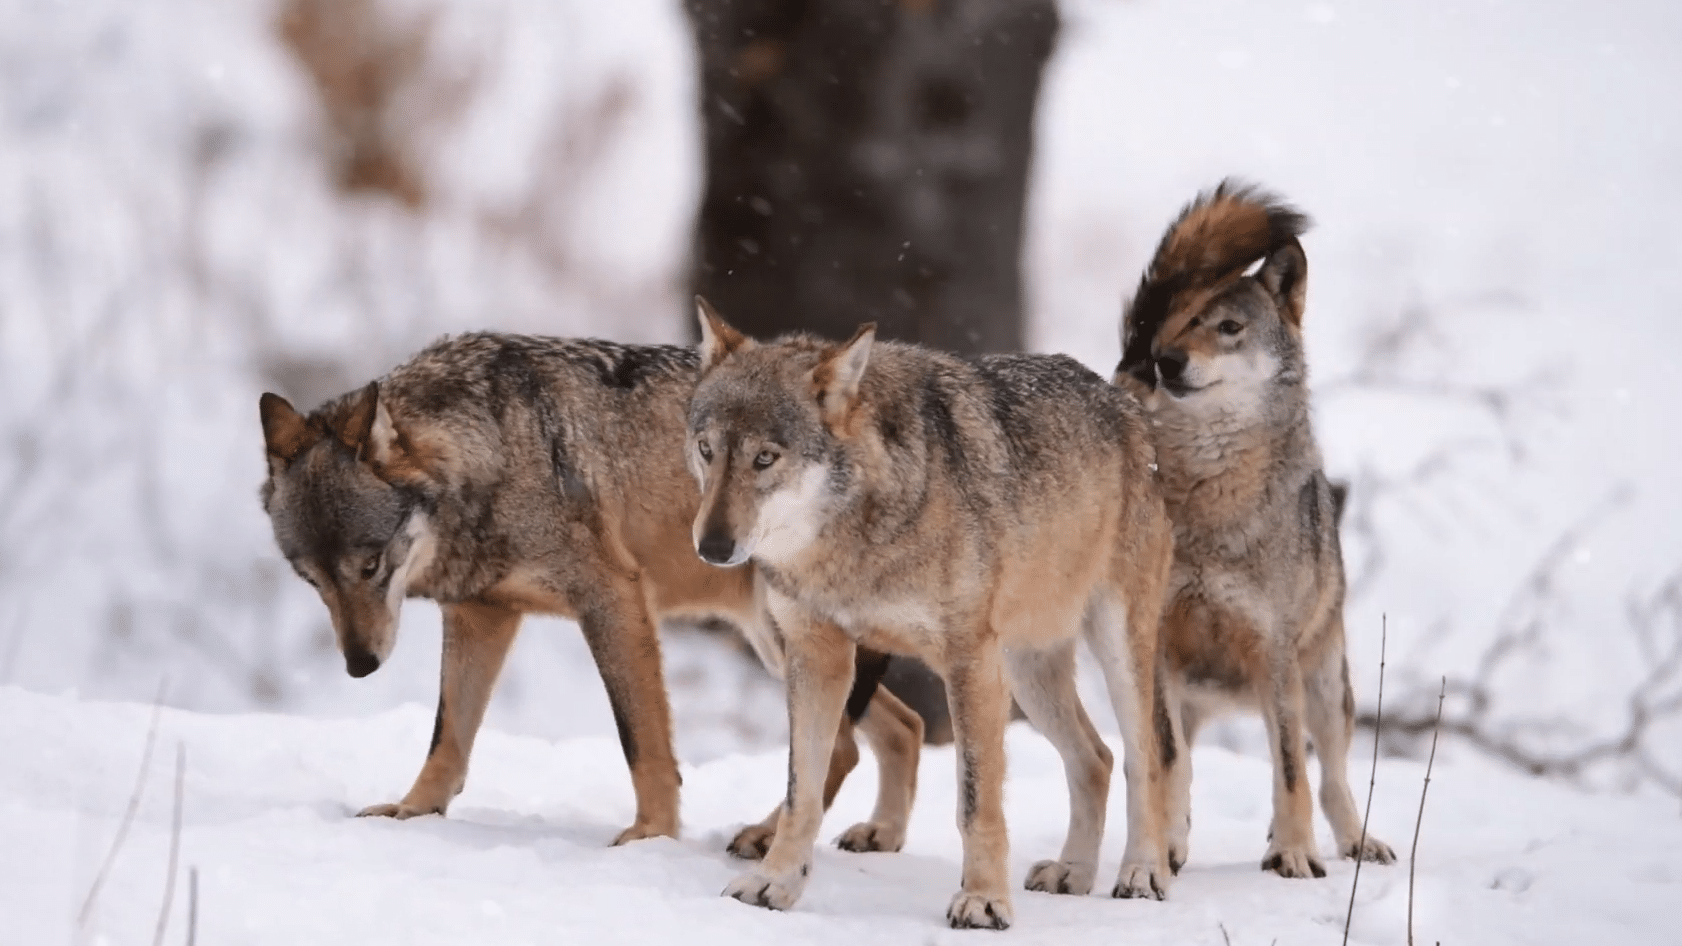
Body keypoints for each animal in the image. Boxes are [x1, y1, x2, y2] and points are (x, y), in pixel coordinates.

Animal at [257, 332, 923, 851]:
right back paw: (869, 834)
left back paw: (770, 838)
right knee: (898, 729)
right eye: (313, 580)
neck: (496, 451)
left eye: (370, 565)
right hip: (783, 646)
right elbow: (447, 735)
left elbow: (642, 742)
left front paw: (651, 837)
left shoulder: (612, 599)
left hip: (786, 642)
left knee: (847, 745)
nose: (359, 666)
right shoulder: (480, 613)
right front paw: (410, 813)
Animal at [687, 302, 1176, 929]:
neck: (859, 530)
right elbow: (802, 792)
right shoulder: (817, 657)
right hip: (1026, 673)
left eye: (765, 458)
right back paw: (1073, 873)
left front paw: (984, 900)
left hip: (1111, 651)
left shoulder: (968, 663)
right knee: (1096, 758)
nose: (712, 547)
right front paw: (775, 883)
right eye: (706, 449)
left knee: (1145, 759)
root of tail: (1121, 398)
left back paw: (1142, 873)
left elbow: (976, 804)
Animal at [1115, 181, 1396, 878]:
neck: (1213, 499)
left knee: (1331, 774)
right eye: (1173, 321)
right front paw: (1161, 852)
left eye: (1228, 328)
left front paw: (1295, 853)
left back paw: (1355, 842)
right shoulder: (1157, 650)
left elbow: (1293, 771)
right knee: (1180, 762)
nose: (1163, 361)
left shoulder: (1274, 653)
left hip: (1325, 685)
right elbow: (1167, 763)